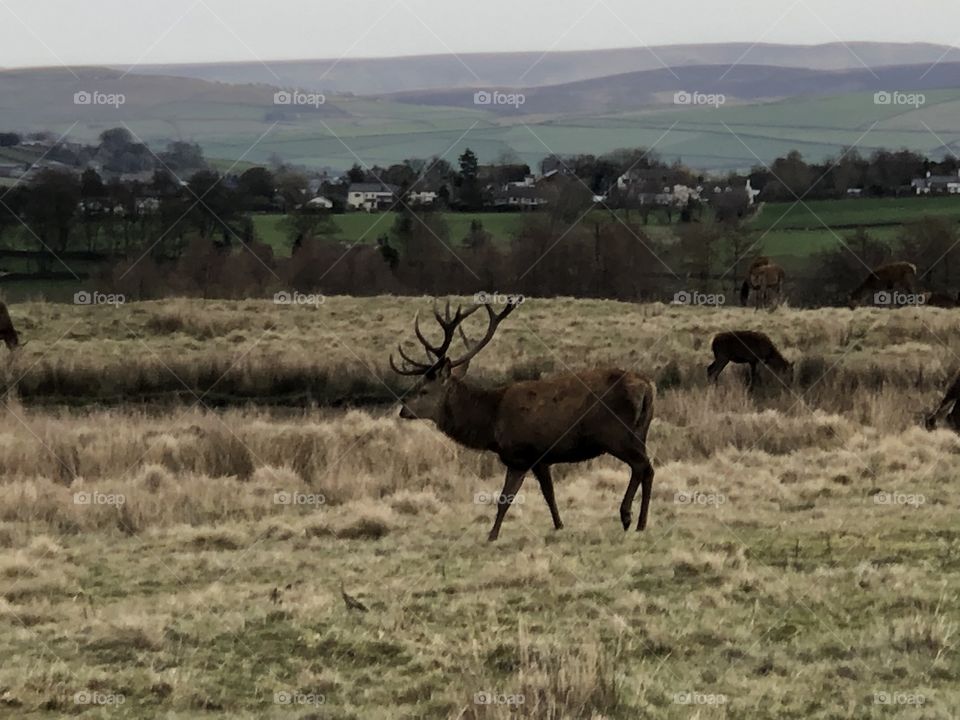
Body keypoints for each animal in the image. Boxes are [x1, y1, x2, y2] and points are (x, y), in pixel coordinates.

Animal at [390, 300, 656, 541]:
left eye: (424, 390)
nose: (403, 410)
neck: (491, 423)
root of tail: (646, 386)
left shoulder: (520, 454)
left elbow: (505, 499)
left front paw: (492, 535)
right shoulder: (541, 458)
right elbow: (549, 494)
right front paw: (559, 525)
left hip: (616, 434)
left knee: (642, 466)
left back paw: (629, 517)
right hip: (640, 432)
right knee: (646, 468)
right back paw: (640, 522)